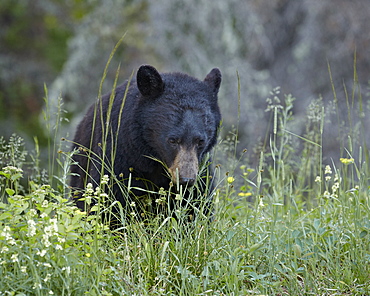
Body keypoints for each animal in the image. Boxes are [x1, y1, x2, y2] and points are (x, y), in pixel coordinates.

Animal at [70, 64, 221, 222]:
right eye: (172, 140)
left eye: (200, 141)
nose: (186, 180)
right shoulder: (117, 155)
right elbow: (108, 197)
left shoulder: (202, 170)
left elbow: (197, 205)